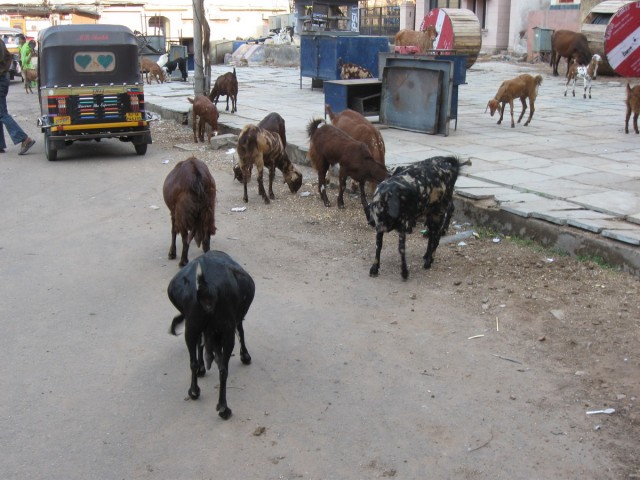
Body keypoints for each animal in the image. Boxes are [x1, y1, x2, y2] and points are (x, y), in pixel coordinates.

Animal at [168, 250, 254, 420]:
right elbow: (241, 330)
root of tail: (205, 289)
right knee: (223, 370)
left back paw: (194, 391)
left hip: (191, 328)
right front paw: (245, 356)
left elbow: (199, 346)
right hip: (227, 333)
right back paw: (224, 408)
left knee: (192, 361)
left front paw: (201, 368)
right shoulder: (233, 321)